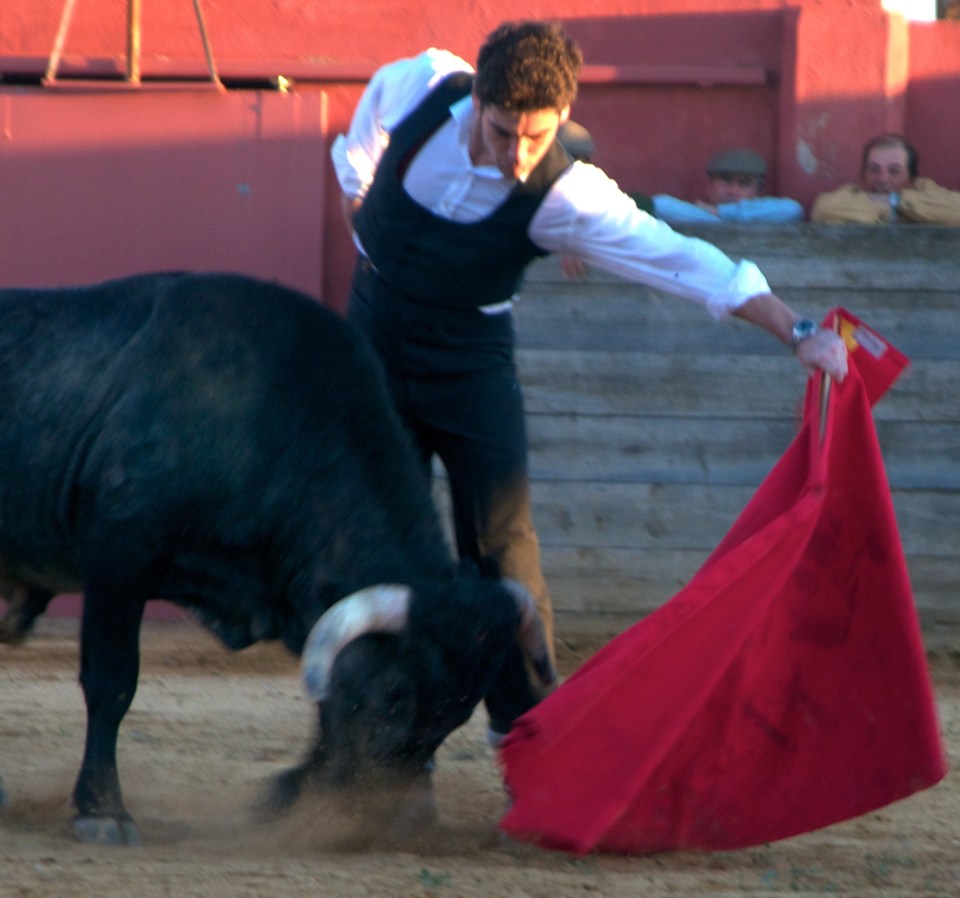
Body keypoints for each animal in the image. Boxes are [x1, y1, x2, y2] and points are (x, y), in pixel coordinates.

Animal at [0, 270, 556, 844]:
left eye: (458, 713)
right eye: (396, 693)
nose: (379, 818)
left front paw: (286, 792)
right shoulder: (120, 553)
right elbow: (112, 680)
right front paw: (103, 810)